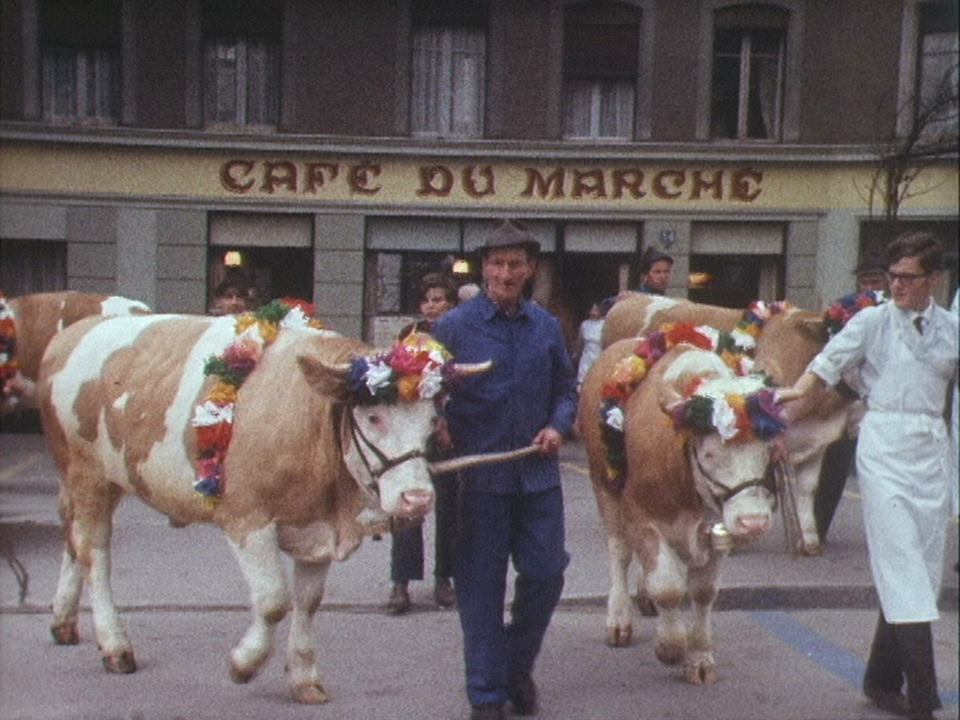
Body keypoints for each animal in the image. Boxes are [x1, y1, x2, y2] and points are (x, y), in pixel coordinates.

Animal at [38, 314, 488, 704]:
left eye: (432, 420)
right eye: (374, 416)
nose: (418, 498)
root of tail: (77, 328)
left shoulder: (317, 530)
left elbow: (308, 602)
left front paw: (304, 679)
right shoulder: (246, 519)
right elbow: (273, 601)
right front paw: (244, 663)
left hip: (108, 480)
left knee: (74, 542)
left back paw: (63, 622)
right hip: (86, 473)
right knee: (95, 554)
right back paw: (115, 645)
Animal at [576, 344, 780, 688]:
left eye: (768, 451)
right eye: (710, 453)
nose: (753, 521)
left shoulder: (716, 532)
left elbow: (703, 592)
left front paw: (699, 657)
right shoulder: (642, 519)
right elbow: (668, 587)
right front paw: (670, 646)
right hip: (603, 488)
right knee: (619, 554)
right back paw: (618, 620)